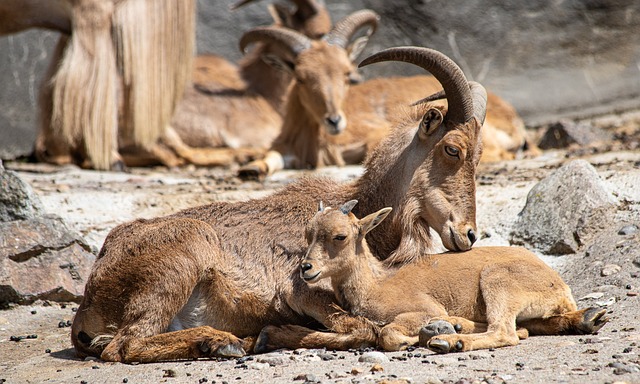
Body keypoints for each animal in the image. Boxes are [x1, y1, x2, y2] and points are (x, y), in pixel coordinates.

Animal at [70, 46, 484, 362]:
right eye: (452, 149)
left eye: (479, 155)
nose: (468, 234)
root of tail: (95, 287)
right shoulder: (300, 289)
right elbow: (362, 327)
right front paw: (269, 336)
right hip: (179, 263)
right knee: (123, 346)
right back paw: (222, 341)